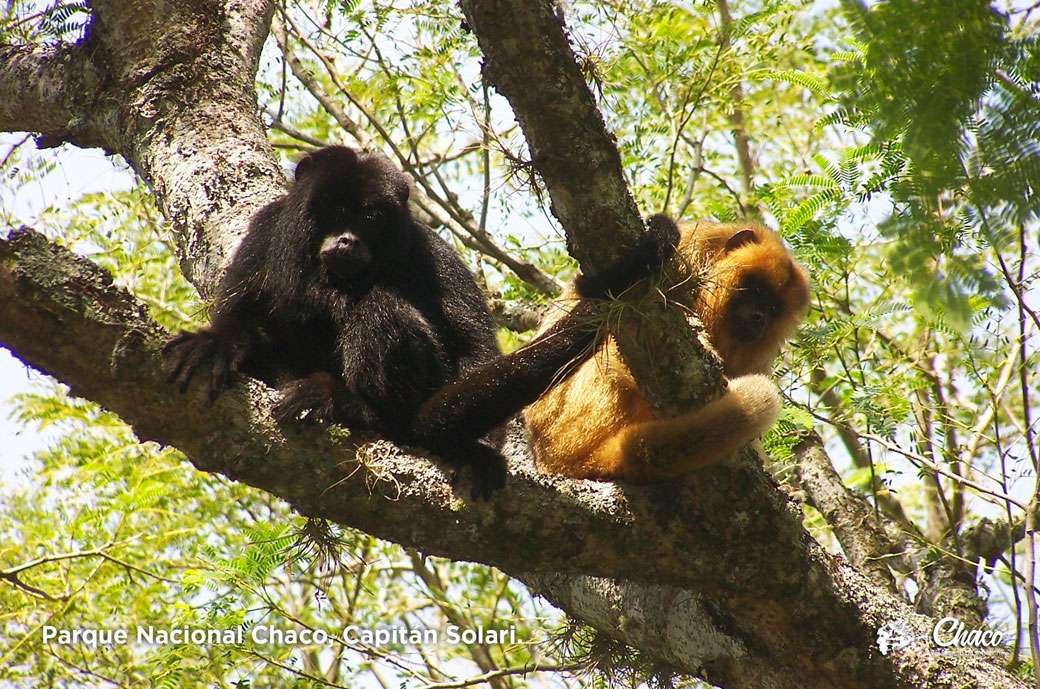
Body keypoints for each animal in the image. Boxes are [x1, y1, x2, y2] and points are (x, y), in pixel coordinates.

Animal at [163, 145, 678, 499]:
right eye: (334, 212)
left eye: (370, 216)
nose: (346, 240)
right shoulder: (266, 230)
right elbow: (241, 315)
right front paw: (215, 343)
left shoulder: (429, 249)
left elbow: (474, 348)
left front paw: (474, 449)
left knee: (380, 307)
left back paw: (358, 406)